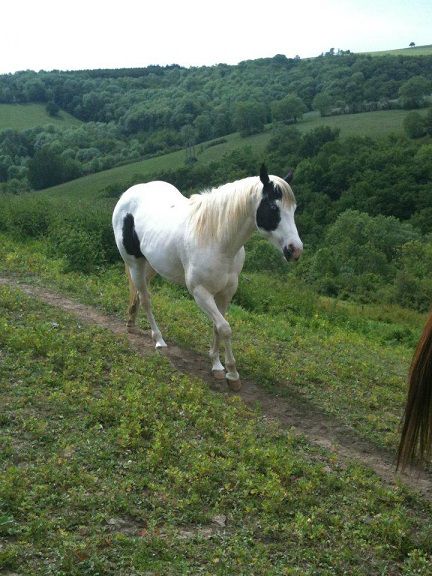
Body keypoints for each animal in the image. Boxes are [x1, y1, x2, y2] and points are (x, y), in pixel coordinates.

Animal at [112, 164, 303, 391]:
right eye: (273, 208)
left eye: (294, 209)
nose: (295, 250)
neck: (216, 239)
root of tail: (127, 195)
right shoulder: (200, 293)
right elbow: (225, 328)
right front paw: (232, 374)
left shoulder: (226, 293)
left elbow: (217, 327)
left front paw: (217, 366)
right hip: (134, 263)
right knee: (146, 299)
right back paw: (158, 340)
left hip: (150, 264)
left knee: (138, 294)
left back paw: (131, 322)